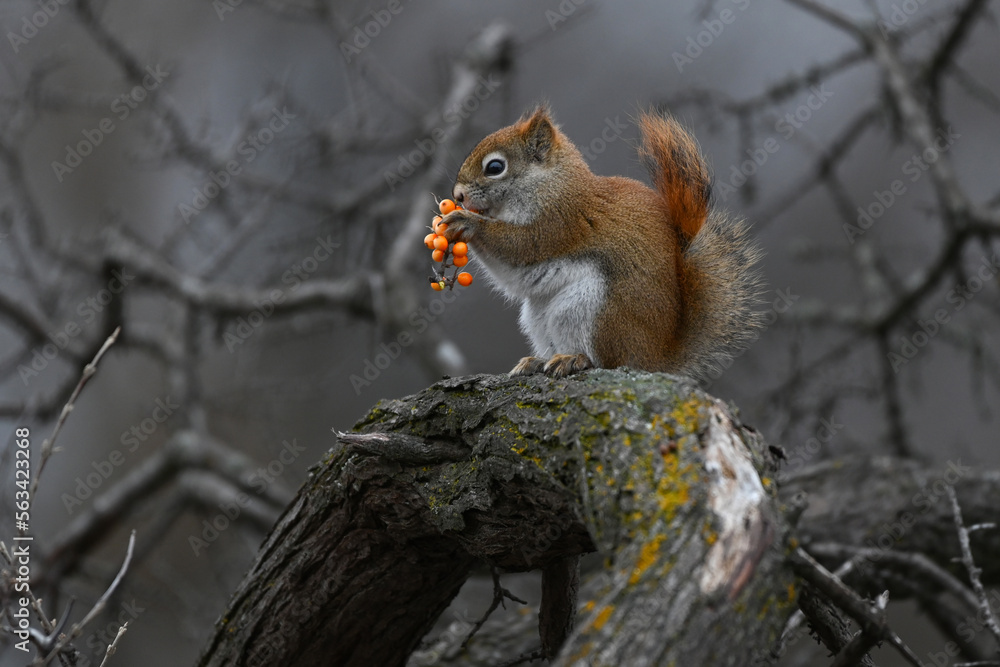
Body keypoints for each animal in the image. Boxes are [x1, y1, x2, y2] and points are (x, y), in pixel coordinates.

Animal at [441, 106, 763, 379]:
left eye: (495, 167)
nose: (457, 195)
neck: (552, 185)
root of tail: (655, 357)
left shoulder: (560, 223)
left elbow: (518, 247)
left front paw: (467, 223)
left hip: (591, 309)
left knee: (608, 361)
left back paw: (575, 359)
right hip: (538, 317)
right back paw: (538, 360)